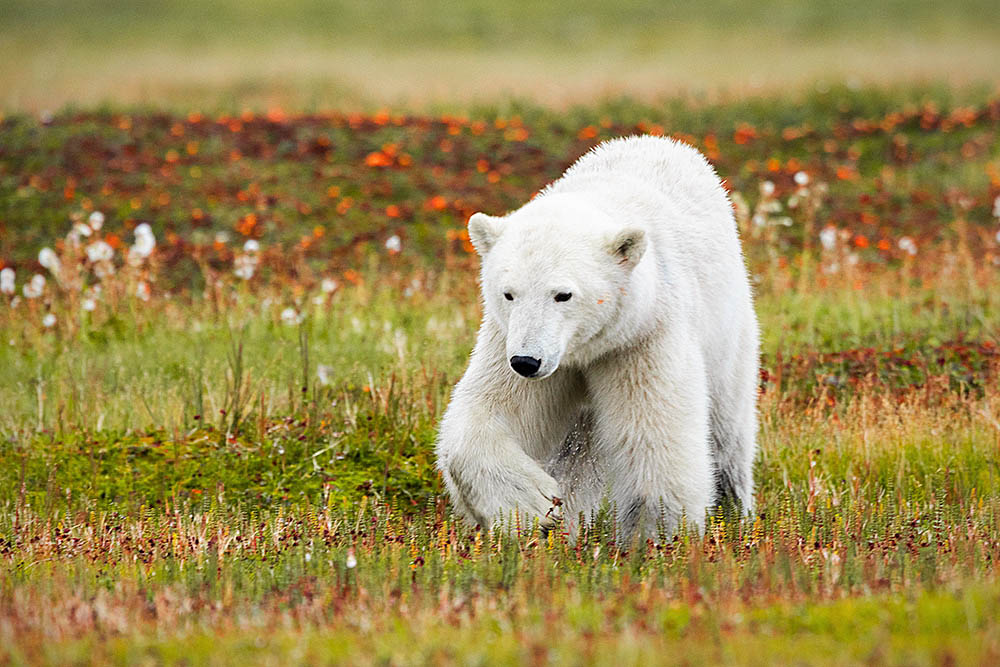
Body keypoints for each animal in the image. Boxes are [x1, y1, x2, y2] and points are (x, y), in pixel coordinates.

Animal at [436, 136, 756, 544]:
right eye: (508, 293)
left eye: (563, 294)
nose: (527, 362)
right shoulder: (510, 339)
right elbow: (489, 412)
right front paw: (533, 505)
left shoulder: (643, 336)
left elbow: (654, 437)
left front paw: (654, 537)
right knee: (576, 448)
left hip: (729, 331)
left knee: (727, 431)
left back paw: (734, 511)